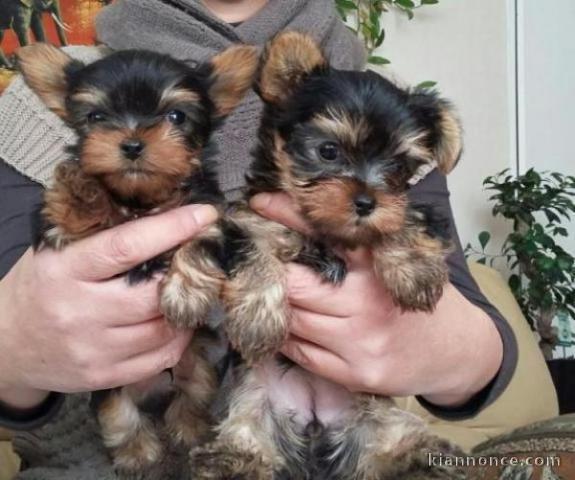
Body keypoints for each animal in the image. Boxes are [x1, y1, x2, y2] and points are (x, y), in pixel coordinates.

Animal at [16, 40, 258, 472]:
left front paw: (184, 296)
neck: (141, 202)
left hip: (198, 365)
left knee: (190, 398)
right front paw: (80, 187)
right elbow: (71, 217)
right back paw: (138, 453)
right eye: (96, 117)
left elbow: (199, 243)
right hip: (107, 383)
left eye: (176, 116)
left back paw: (189, 432)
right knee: (119, 415)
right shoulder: (60, 234)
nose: (130, 143)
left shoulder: (209, 215)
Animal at [191, 31, 470, 478]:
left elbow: (404, 218)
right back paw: (230, 460)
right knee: (248, 426)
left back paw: (425, 458)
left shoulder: (408, 210)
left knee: (389, 437)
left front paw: (415, 273)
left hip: (371, 408)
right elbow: (257, 255)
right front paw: (258, 320)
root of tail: (315, 419)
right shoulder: (249, 220)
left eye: (397, 166)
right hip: (254, 394)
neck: (322, 231)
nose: (367, 202)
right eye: (328, 151)